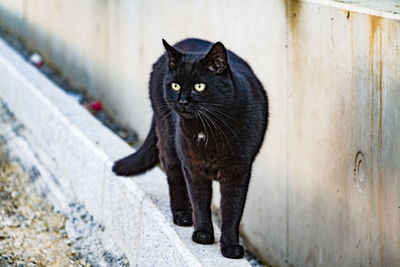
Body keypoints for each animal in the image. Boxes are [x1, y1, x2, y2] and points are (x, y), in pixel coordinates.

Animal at [112, 38, 268, 260]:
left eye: (199, 86)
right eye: (175, 85)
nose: (183, 101)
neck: (207, 130)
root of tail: (182, 41)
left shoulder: (238, 172)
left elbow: (232, 209)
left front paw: (230, 247)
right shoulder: (192, 166)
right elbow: (199, 200)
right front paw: (202, 234)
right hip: (168, 137)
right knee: (173, 174)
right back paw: (183, 215)